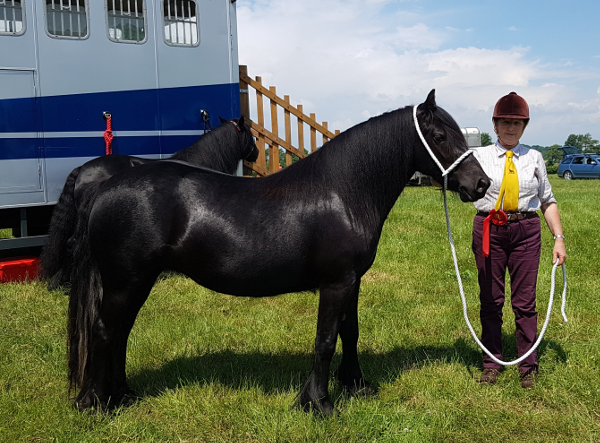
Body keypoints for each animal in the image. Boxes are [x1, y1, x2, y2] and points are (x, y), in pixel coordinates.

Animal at [68, 90, 490, 416]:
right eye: (439, 135)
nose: (481, 184)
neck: (344, 193)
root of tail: (106, 186)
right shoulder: (336, 283)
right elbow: (325, 340)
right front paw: (318, 403)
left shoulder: (353, 281)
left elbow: (349, 332)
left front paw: (356, 384)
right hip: (125, 282)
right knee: (104, 331)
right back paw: (96, 403)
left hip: (137, 282)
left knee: (121, 332)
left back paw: (123, 396)